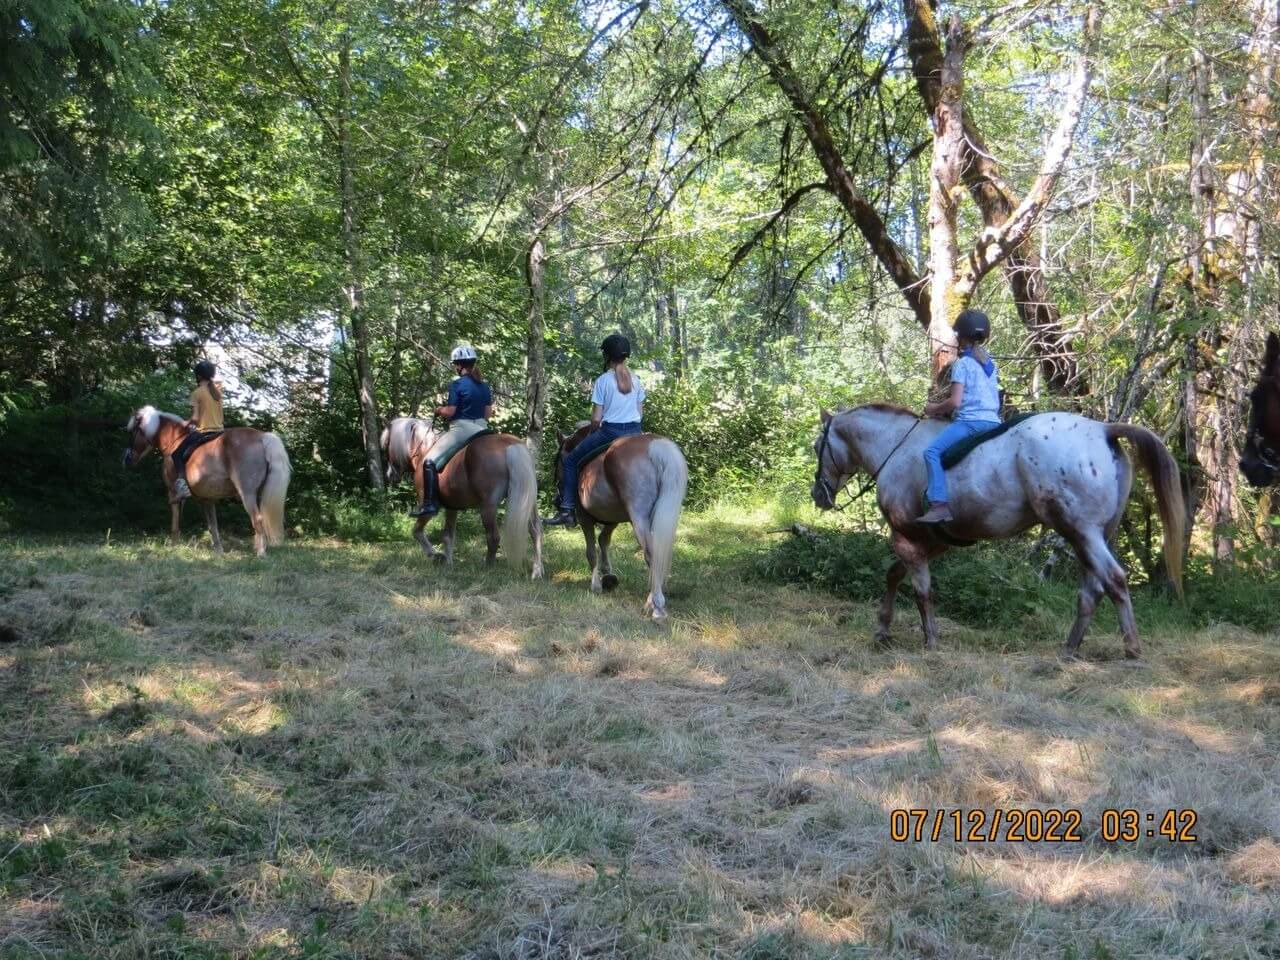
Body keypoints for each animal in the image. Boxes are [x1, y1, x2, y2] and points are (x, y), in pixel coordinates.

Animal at [122, 407, 293, 555]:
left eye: (133, 432)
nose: (127, 459)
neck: (175, 441)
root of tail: (262, 437)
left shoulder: (173, 494)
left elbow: (176, 522)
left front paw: (174, 546)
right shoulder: (206, 499)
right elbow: (212, 525)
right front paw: (218, 551)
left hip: (247, 494)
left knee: (257, 519)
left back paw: (260, 553)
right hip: (260, 494)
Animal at [552, 427, 691, 624]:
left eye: (557, 462)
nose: (557, 500)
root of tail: (656, 446)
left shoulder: (584, 517)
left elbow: (591, 551)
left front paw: (596, 585)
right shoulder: (614, 519)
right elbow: (603, 540)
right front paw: (607, 574)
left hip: (639, 517)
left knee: (651, 553)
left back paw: (655, 605)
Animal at [814, 401, 1182, 660]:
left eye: (819, 447)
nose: (818, 495)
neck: (897, 447)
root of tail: (1103, 429)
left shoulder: (906, 536)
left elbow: (921, 590)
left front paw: (929, 640)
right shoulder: (934, 541)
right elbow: (894, 575)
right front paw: (882, 630)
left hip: (1081, 532)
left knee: (1114, 580)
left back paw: (1131, 647)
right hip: (1092, 537)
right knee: (1092, 590)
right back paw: (1069, 649)